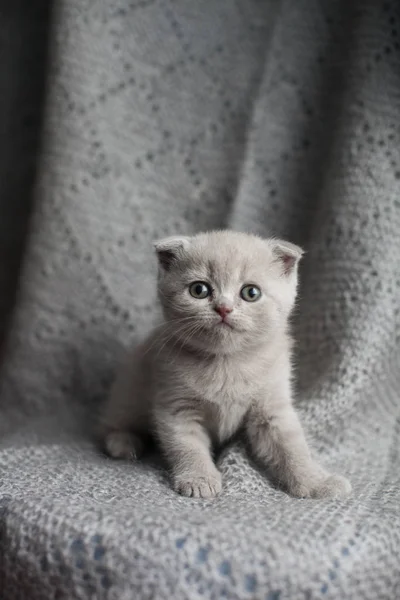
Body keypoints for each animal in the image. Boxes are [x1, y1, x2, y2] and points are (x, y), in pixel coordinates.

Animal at [98, 232, 352, 500]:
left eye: (251, 292)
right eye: (199, 290)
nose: (223, 308)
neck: (227, 362)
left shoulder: (272, 407)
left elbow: (292, 448)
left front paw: (317, 482)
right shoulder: (177, 406)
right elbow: (187, 446)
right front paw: (198, 479)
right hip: (130, 389)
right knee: (110, 423)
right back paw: (123, 444)